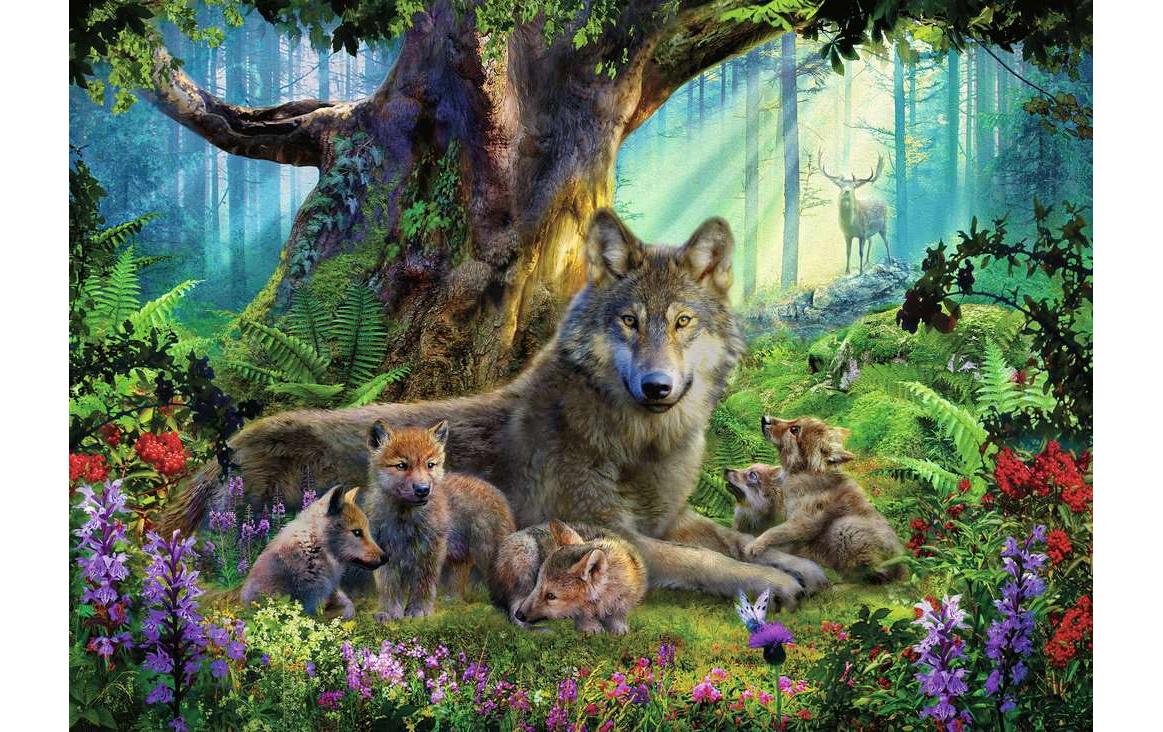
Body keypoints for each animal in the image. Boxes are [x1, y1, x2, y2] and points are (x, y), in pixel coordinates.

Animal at [361, 419, 516, 620]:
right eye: (401, 465)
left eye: (430, 465)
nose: (422, 489)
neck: (405, 518)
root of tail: (494, 490)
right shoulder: (384, 550)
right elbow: (388, 586)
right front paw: (389, 612)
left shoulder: (430, 551)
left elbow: (423, 584)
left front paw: (418, 611)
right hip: (460, 554)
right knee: (460, 575)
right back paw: (454, 600)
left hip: (488, 553)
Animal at [496, 520, 646, 635]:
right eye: (537, 584)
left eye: (551, 596)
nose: (520, 615)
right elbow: (583, 616)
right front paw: (590, 627)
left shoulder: (623, 601)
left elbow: (618, 615)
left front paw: (619, 629)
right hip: (525, 561)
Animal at [744, 416, 907, 582]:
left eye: (795, 430)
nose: (764, 418)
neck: (803, 472)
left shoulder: (805, 522)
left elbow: (775, 531)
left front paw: (755, 544)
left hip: (844, 528)